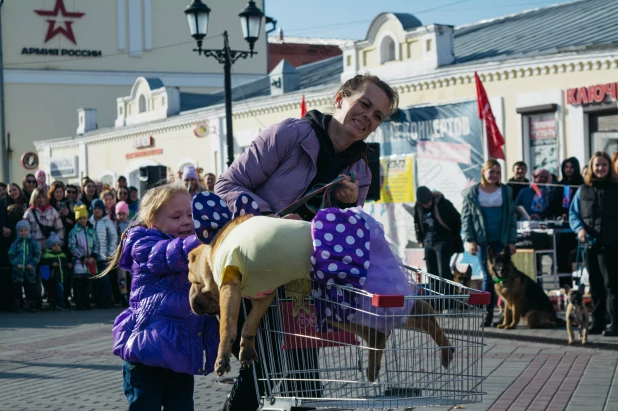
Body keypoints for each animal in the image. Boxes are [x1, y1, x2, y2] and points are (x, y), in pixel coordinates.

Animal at [188, 216, 452, 384]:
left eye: (189, 277)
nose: (191, 299)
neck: (213, 253)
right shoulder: (265, 294)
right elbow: (250, 321)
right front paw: (246, 346)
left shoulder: (230, 286)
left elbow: (227, 325)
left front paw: (222, 356)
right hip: (334, 300)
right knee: (385, 328)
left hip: (361, 291)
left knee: (414, 312)